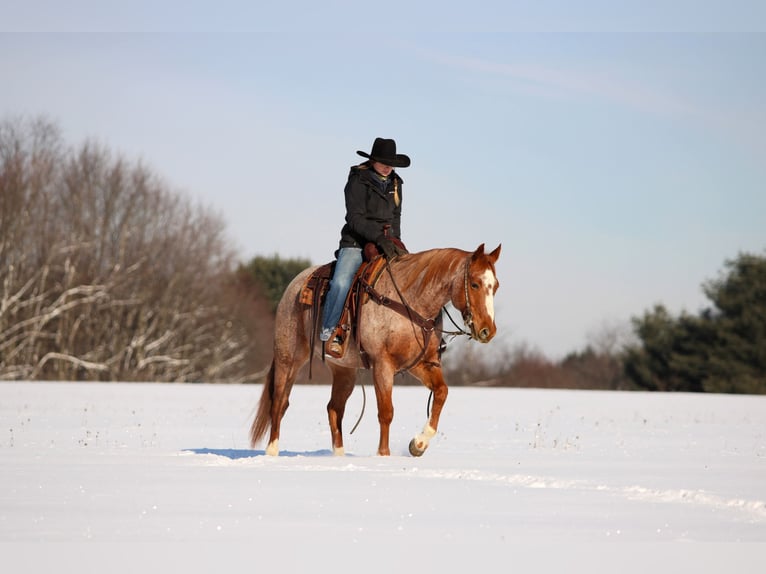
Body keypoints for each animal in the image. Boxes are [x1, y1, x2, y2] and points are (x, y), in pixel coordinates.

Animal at [249, 243, 502, 457]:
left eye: (495, 286)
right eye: (474, 284)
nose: (487, 330)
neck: (411, 302)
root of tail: (293, 286)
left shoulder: (421, 363)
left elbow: (441, 392)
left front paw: (418, 444)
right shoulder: (383, 364)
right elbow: (386, 412)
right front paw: (383, 456)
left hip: (344, 370)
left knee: (334, 408)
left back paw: (338, 457)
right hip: (289, 357)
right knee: (279, 402)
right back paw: (272, 451)